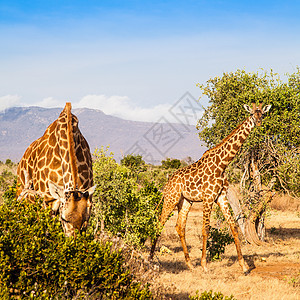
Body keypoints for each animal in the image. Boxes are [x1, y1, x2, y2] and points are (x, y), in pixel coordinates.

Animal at [16, 102, 96, 237]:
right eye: (64, 218)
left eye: (84, 219)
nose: (73, 240)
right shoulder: (47, 201)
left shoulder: (87, 201)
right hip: (24, 197)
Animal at [150, 102, 272, 272]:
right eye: (253, 114)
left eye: (263, 114)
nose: (259, 123)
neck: (222, 164)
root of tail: (167, 183)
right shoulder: (208, 198)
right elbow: (205, 229)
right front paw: (204, 265)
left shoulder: (221, 196)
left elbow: (233, 227)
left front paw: (243, 266)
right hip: (171, 199)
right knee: (159, 224)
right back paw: (150, 259)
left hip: (185, 201)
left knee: (180, 226)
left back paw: (189, 264)